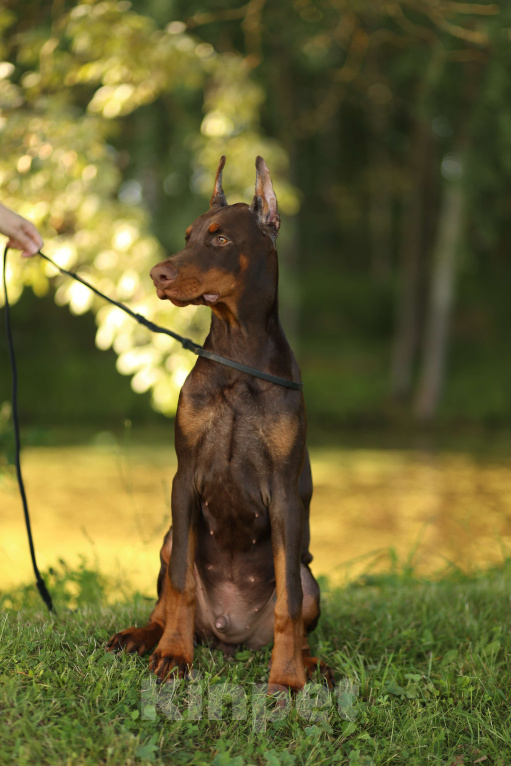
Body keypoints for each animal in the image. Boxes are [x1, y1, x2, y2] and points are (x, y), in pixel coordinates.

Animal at [107, 156, 328, 696]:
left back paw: (311, 663)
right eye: (187, 236)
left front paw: (286, 679)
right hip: (170, 536)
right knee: (165, 598)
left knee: (299, 601)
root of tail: (229, 637)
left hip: (310, 573)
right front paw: (173, 655)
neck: (237, 357)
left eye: (221, 238)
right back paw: (144, 635)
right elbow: (181, 584)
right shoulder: (184, 478)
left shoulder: (285, 494)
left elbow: (289, 604)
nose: (158, 274)